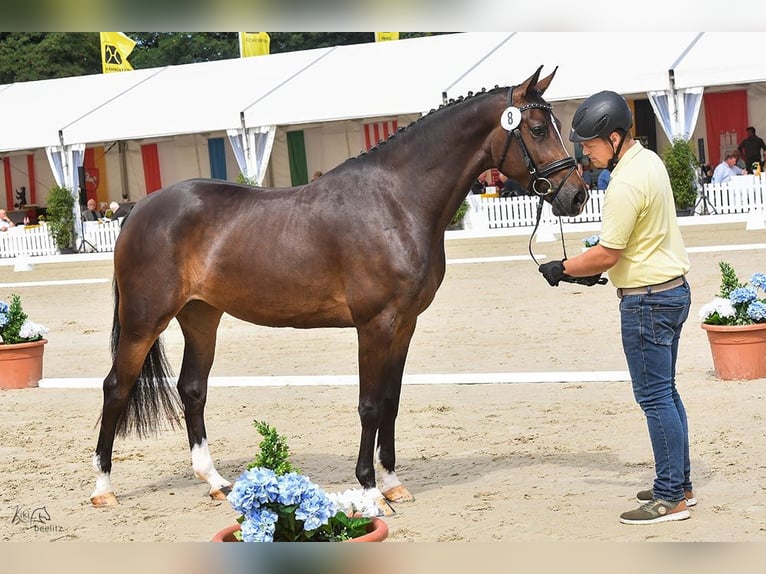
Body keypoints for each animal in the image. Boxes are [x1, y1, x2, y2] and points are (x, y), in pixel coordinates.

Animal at [91, 66, 592, 512]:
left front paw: (393, 484)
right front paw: (369, 490)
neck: (395, 201)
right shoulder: (374, 325)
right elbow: (369, 405)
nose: (576, 196)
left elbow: (390, 402)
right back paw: (103, 489)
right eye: (537, 128)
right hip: (143, 321)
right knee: (116, 387)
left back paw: (215, 482)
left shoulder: (404, 325)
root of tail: (139, 211)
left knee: (192, 389)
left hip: (200, 316)